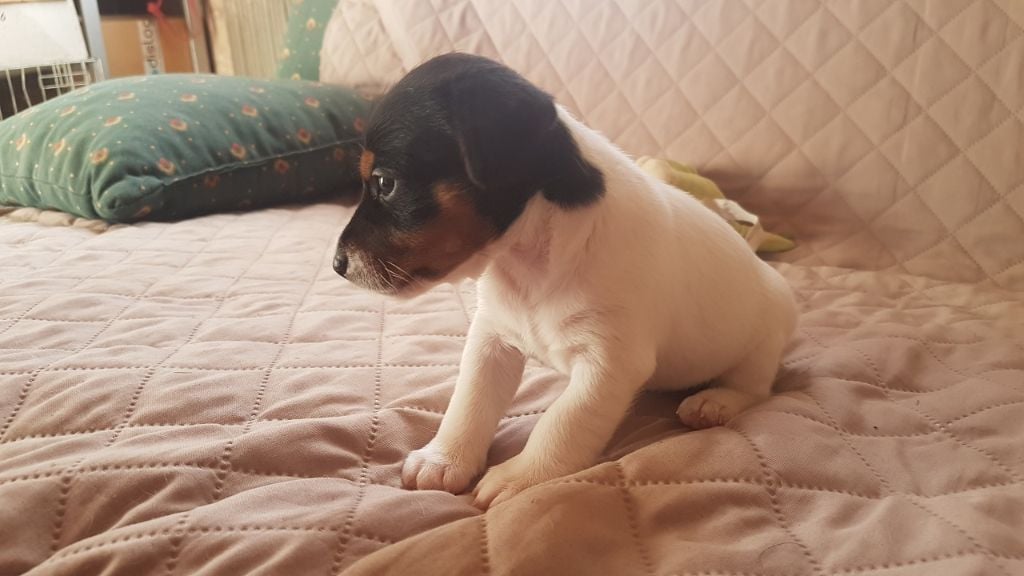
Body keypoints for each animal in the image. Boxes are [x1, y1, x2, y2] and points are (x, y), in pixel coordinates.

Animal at [333, 53, 797, 508]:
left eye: (385, 183)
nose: (337, 264)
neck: (528, 259)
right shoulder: (492, 340)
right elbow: (469, 400)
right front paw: (443, 457)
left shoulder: (608, 363)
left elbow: (564, 421)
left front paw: (521, 477)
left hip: (759, 346)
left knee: (756, 388)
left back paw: (715, 401)